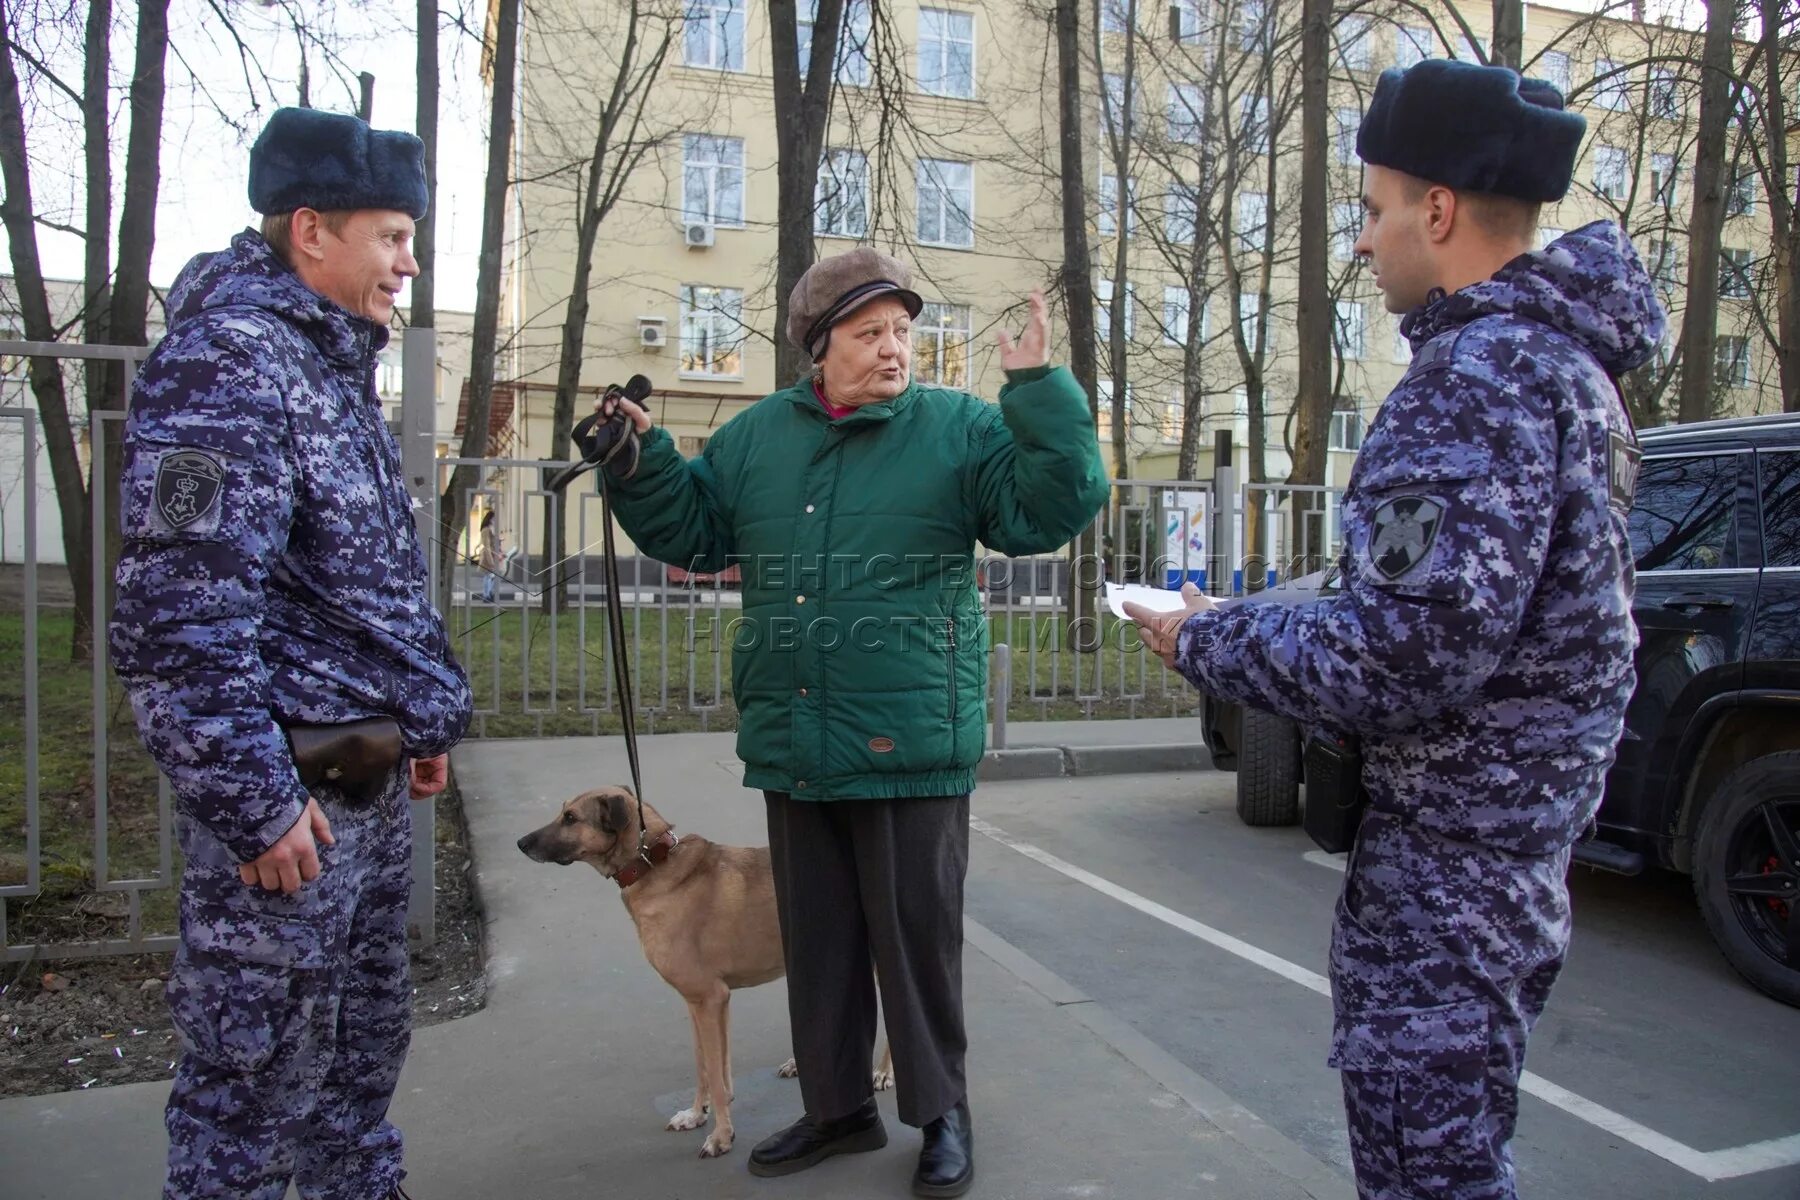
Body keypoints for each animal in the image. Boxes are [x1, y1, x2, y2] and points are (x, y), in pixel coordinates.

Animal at [518, 784, 889, 1158]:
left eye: (570, 818)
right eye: (563, 811)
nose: (521, 843)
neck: (652, 864)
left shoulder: (709, 999)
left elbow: (714, 1073)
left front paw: (721, 1136)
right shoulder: (700, 1002)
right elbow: (706, 1067)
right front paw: (697, 1114)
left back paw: (883, 1073)